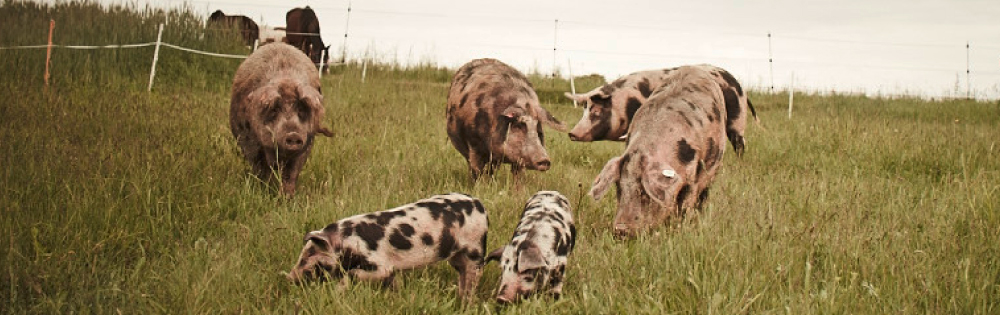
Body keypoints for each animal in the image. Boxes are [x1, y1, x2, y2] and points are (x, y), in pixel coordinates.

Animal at [229, 42, 332, 198]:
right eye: (275, 110)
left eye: (301, 110)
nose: (293, 134)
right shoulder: (250, 143)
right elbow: (263, 171)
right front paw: (266, 193)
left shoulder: (306, 145)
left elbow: (291, 174)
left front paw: (287, 198)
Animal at [286, 194, 488, 302]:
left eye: (308, 255)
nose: (289, 277)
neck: (347, 243)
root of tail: (480, 205)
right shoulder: (390, 271)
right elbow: (392, 282)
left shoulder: (380, 264)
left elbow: (355, 274)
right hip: (457, 257)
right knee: (462, 274)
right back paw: (460, 298)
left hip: (475, 251)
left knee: (473, 276)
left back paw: (467, 302)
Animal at [564, 64, 756, 158]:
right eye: (584, 110)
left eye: (597, 111)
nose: (572, 133)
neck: (626, 104)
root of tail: (738, 84)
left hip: (737, 119)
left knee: (740, 143)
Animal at [584, 66, 728, 239]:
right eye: (619, 188)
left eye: (645, 192)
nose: (621, 230)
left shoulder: (694, 175)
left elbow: (686, 203)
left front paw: (680, 227)